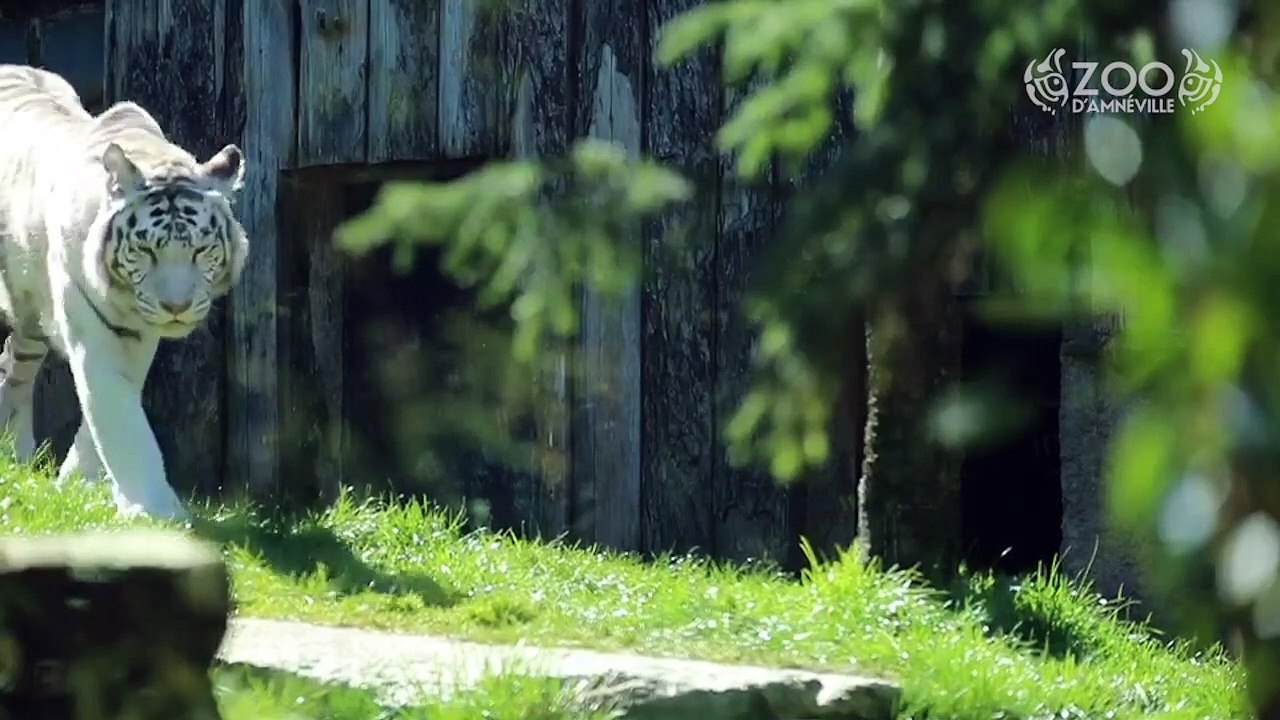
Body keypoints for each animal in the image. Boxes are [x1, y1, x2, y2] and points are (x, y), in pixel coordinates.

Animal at [0, 64, 249, 520]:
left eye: (201, 249)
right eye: (148, 250)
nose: (177, 307)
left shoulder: (137, 334)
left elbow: (109, 411)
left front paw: (80, 483)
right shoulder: (93, 328)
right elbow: (115, 410)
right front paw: (156, 511)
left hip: (31, 314)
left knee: (16, 363)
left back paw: (17, 454)